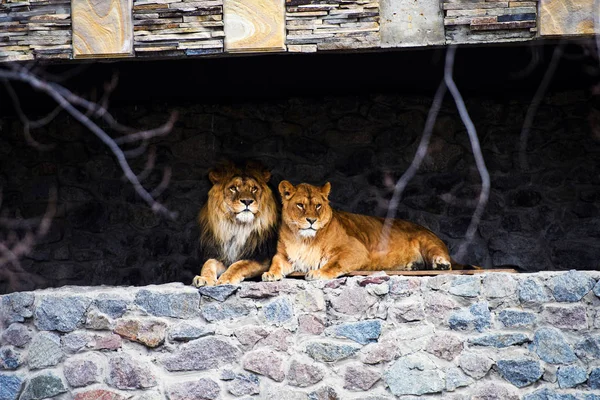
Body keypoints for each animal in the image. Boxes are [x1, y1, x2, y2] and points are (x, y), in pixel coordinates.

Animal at [262, 181, 474, 282]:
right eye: (300, 205)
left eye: (318, 206)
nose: (312, 220)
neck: (304, 239)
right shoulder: (284, 255)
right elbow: (275, 262)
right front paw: (270, 274)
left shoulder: (356, 250)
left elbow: (334, 263)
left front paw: (318, 273)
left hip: (427, 240)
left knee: (442, 257)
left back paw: (440, 265)